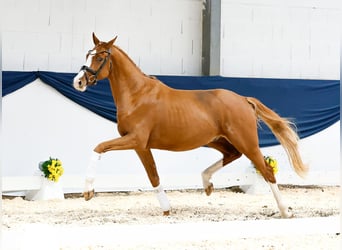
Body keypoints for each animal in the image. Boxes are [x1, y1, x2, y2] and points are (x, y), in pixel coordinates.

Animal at [73, 32, 308, 217]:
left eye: (100, 57)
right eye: (87, 54)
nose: (78, 82)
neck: (137, 95)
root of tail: (243, 99)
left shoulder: (135, 140)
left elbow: (99, 147)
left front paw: (88, 192)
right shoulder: (141, 146)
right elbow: (153, 176)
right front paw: (166, 210)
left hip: (246, 141)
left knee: (266, 170)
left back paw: (285, 211)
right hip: (216, 140)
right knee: (231, 154)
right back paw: (207, 184)